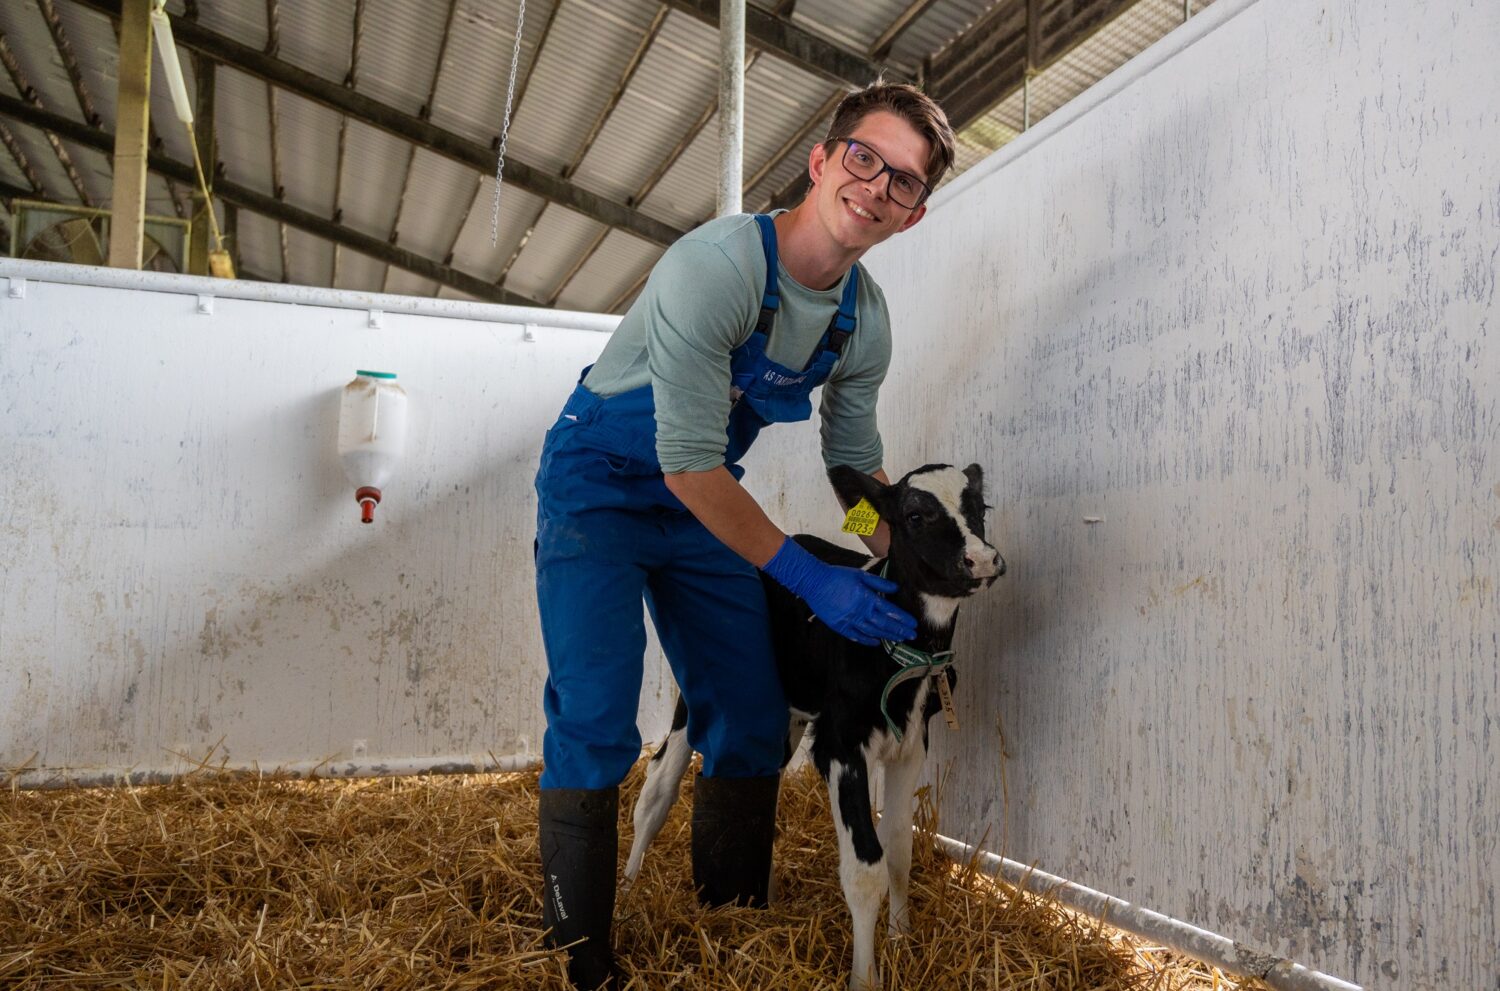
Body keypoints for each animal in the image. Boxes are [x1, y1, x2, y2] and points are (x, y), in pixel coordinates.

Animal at [627, 464, 1002, 989]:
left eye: (980, 507)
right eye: (915, 515)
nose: (982, 559)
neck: (903, 651)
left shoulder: (911, 745)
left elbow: (899, 850)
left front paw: (901, 939)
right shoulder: (841, 744)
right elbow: (865, 869)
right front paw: (866, 978)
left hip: (784, 714)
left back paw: (761, 895)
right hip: (699, 691)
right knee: (658, 786)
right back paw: (630, 886)